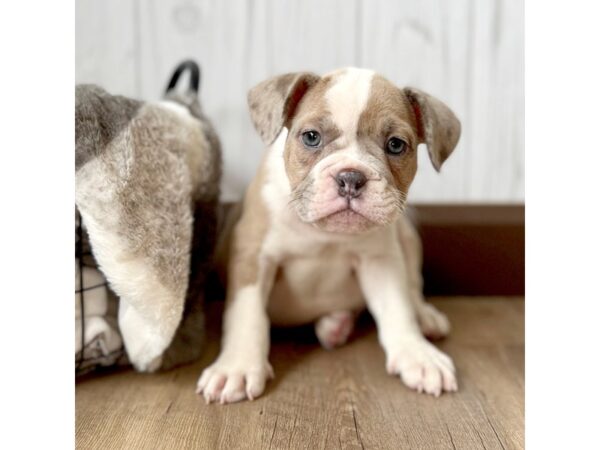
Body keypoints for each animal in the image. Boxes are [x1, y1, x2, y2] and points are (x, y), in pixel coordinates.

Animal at [199, 67, 462, 404]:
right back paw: (335, 325)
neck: (322, 233)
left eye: (395, 145)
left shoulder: (380, 261)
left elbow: (397, 307)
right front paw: (237, 367)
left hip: (407, 236)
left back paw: (415, 318)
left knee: (413, 288)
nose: (351, 177)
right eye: (311, 137)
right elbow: (247, 312)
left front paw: (417, 355)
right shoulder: (253, 255)